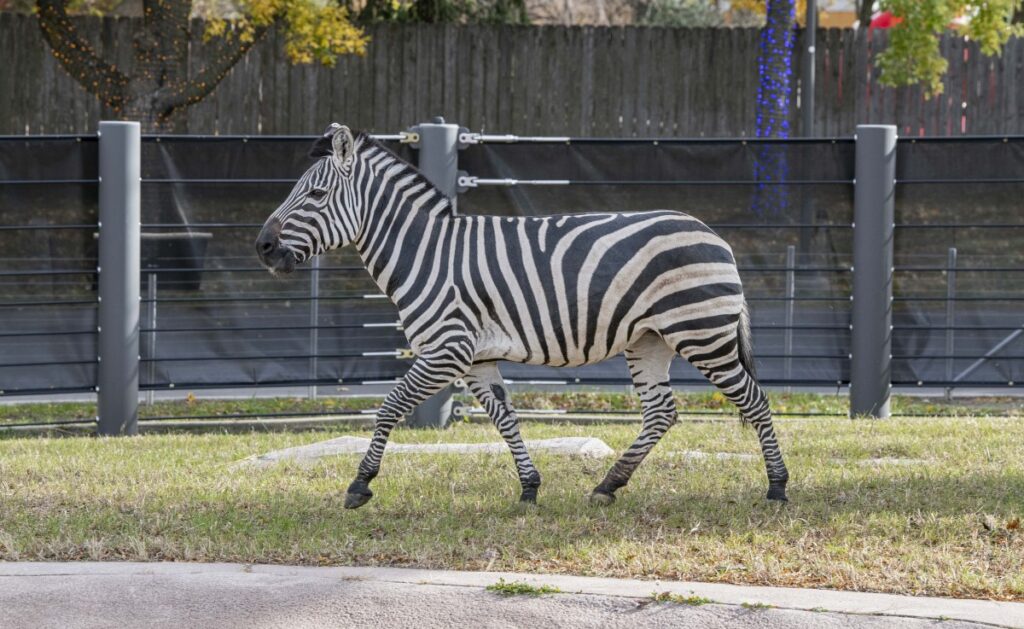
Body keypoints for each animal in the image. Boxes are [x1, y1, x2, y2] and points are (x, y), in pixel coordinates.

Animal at [256, 123, 789, 509]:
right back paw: (608, 485)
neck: (426, 252)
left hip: (700, 333)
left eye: (316, 196)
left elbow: (389, 406)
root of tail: (713, 234)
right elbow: (504, 417)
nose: (262, 247)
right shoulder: (475, 359)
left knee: (755, 401)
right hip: (650, 340)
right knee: (661, 412)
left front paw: (360, 484)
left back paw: (778, 488)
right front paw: (530, 487)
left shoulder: (446, 350)